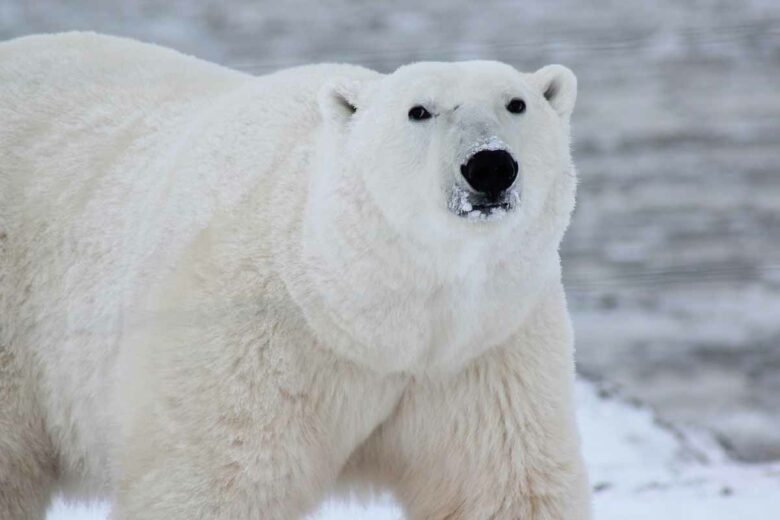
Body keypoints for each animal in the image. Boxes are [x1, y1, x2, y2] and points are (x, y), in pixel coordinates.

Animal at [0, 33, 584, 520]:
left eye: (516, 103)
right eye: (419, 110)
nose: (490, 166)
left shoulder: (484, 351)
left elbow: (502, 485)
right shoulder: (251, 341)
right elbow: (216, 482)